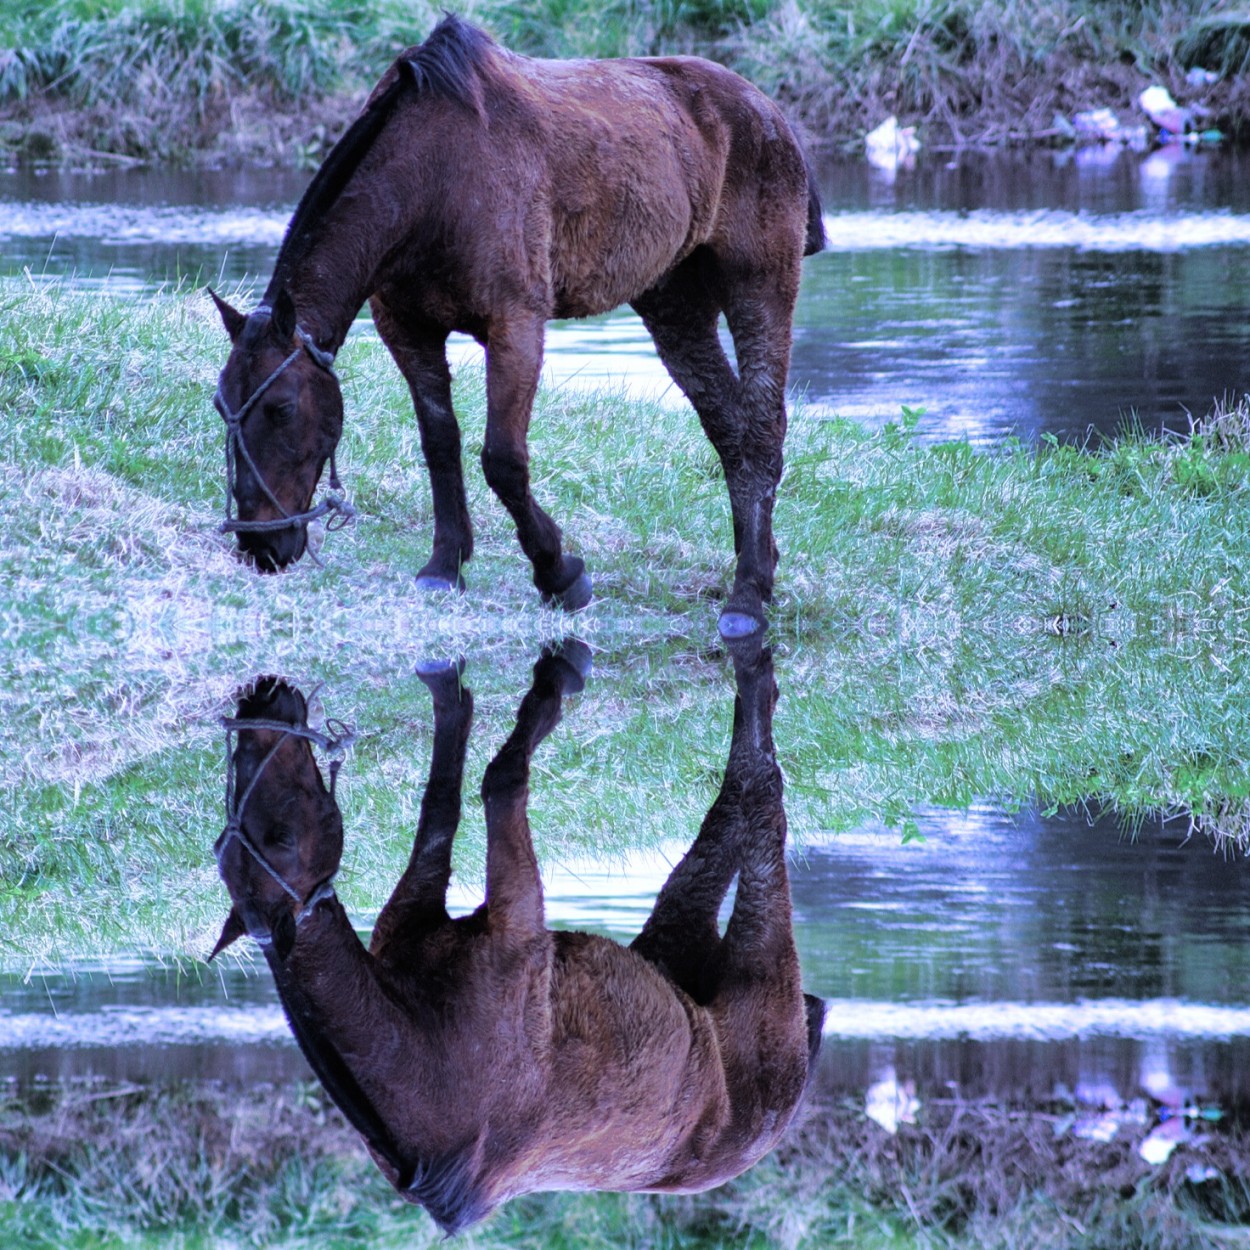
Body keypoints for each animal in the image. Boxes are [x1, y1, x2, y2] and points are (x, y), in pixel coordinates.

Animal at [210, 18, 825, 640]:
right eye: (221, 406)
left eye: (281, 408)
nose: (260, 548)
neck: (433, 175)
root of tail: (768, 109)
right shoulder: (407, 329)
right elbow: (441, 443)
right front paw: (446, 564)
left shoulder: (515, 325)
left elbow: (503, 460)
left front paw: (558, 572)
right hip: (674, 306)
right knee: (729, 428)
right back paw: (760, 563)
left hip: (759, 288)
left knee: (762, 431)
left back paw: (747, 596)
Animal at [210, 650, 825, 1235]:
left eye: (274, 837)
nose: (264, 698)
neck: (425, 1057)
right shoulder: (517, 928)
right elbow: (499, 781)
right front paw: (545, 691)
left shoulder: (442, 910)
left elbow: (444, 804)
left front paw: (456, 698)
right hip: (744, 962)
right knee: (752, 801)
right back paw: (754, 671)